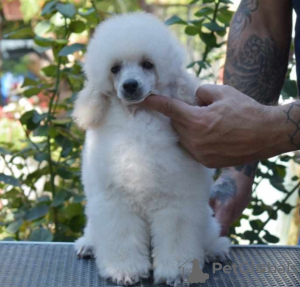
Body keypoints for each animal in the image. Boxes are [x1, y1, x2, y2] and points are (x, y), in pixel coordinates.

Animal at [73, 12, 230, 286]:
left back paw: (215, 249)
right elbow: (121, 235)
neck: (138, 120)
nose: (130, 85)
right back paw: (88, 244)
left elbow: (176, 237)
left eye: (148, 64)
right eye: (115, 69)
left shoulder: (177, 200)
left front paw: (177, 272)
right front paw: (125, 270)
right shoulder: (116, 200)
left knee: (208, 234)